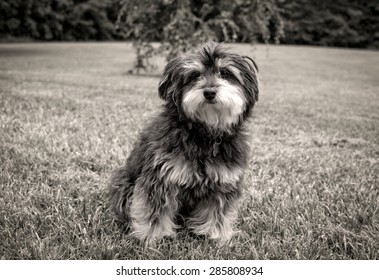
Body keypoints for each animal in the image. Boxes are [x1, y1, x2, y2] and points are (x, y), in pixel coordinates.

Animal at [108, 42, 260, 243]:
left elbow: (217, 212)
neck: (204, 134)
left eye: (225, 73)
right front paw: (152, 237)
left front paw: (215, 235)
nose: (209, 92)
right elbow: (154, 211)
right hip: (124, 183)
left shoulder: (223, 182)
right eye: (195, 75)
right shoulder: (161, 178)